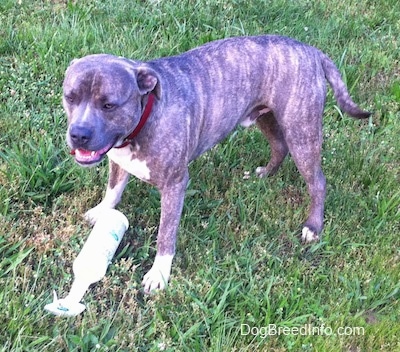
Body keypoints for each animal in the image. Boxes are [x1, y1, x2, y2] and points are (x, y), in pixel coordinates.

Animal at [63, 36, 372, 294]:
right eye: (70, 97)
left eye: (109, 105)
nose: (79, 133)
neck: (146, 115)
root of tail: (311, 51)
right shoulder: (118, 162)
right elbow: (113, 190)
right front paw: (101, 211)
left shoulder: (174, 185)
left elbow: (165, 234)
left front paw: (159, 274)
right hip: (267, 118)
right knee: (279, 146)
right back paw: (263, 174)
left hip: (301, 132)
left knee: (317, 181)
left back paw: (313, 226)